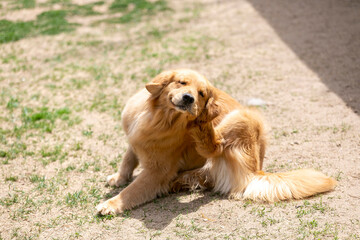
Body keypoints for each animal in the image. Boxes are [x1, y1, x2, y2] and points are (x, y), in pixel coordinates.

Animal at [96, 69, 338, 214]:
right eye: (181, 82)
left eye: (202, 93)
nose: (189, 99)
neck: (158, 118)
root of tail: (258, 169)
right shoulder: (134, 139)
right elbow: (128, 158)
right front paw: (119, 177)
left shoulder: (157, 170)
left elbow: (132, 190)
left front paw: (111, 204)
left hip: (246, 116)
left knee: (214, 145)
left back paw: (202, 124)